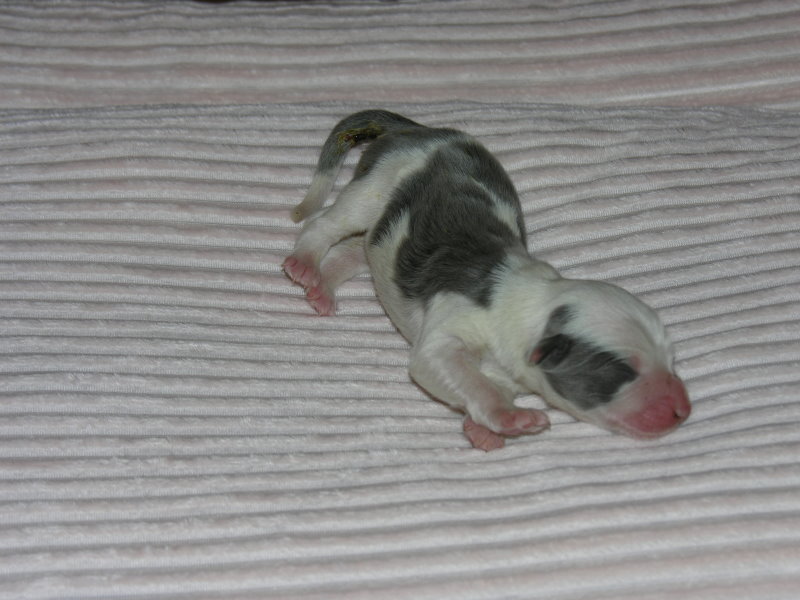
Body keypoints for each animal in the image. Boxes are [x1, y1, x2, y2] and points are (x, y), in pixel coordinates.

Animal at [284, 110, 690, 450]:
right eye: (624, 370)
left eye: (672, 359)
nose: (683, 410)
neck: (533, 303)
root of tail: (419, 129)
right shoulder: (451, 327)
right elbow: (453, 367)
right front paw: (509, 417)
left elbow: (482, 383)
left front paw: (483, 428)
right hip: (375, 186)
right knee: (328, 224)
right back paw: (305, 264)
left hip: (385, 233)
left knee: (359, 248)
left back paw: (323, 287)